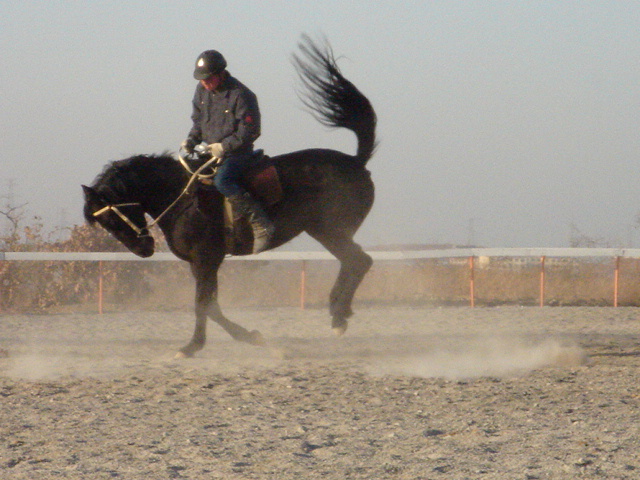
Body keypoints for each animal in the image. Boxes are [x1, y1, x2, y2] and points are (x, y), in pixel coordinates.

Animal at [82, 35, 378, 356]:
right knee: (354, 262)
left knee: (359, 261)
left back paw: (338, 316)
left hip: (331, 230)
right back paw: (339, 311)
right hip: (325, 231)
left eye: (113, 219)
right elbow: (211, 307)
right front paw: (248, 337)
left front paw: (194, 346)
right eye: (106, 224)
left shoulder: (206, 259)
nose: (143, 250)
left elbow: (203, 305)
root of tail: (356, 162)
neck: (182, 198)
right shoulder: (199, 264)